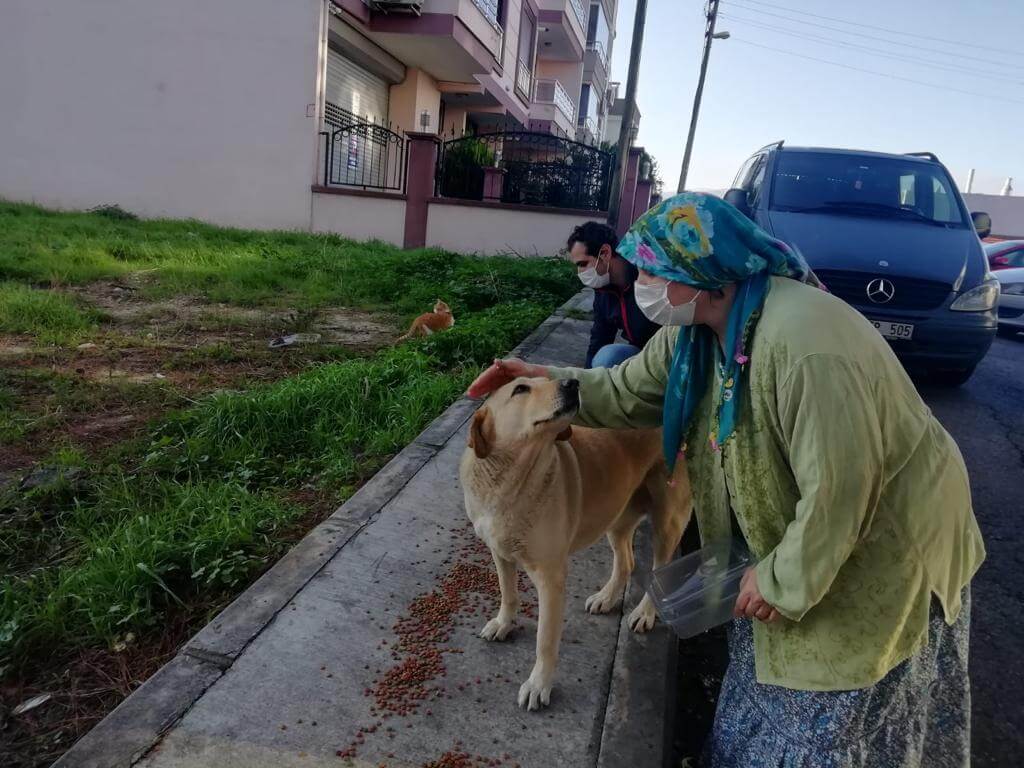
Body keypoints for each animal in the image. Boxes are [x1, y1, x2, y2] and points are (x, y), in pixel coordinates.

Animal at [460, 376, 692, 708]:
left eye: (547, 380)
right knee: (627, 561)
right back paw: (606, 598)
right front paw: (504, 623)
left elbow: (545, 639)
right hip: (616, 515)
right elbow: (508, 593)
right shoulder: (499, 552)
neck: (511, 483)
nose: (572, 382)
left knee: (660, 569)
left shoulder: (551, 578)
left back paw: (645, 613)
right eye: (520, 389)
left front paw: (539, 684)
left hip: (668, 520)